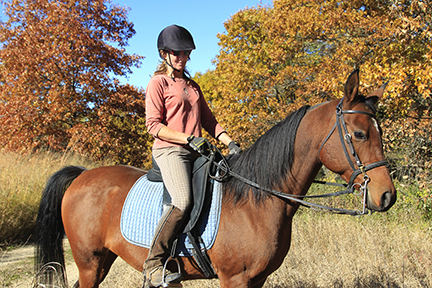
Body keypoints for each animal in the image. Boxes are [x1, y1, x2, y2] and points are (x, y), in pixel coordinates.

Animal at [35, 70, 396, 288]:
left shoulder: (257, 279)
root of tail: (82, 176)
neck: (255, 201)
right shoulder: (234, 279)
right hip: (89, 262)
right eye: (360, 134)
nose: (386, 196)